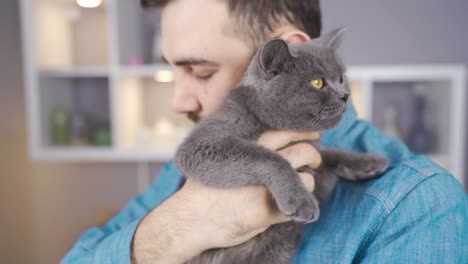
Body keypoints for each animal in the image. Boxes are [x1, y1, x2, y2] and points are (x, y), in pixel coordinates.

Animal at [176, 28, 388, 264]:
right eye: (317, 83)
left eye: (341, 78)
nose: (345, 95)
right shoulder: (205, 142)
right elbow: (271, 158)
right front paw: (301, 201)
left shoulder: (313, 155)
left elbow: (330, 154)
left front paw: (369, 162)